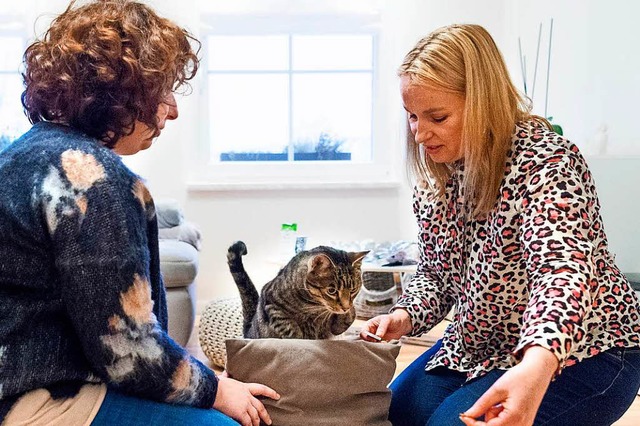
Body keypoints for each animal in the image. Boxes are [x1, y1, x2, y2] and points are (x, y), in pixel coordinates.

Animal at [228, 241, 368, 338]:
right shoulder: (270, 303)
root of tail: (248, 331)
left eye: (353, 290)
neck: (314, 306)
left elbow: (350, 316)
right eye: (331, 291)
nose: (345, 307)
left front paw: (346, 315)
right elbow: (288, 326)